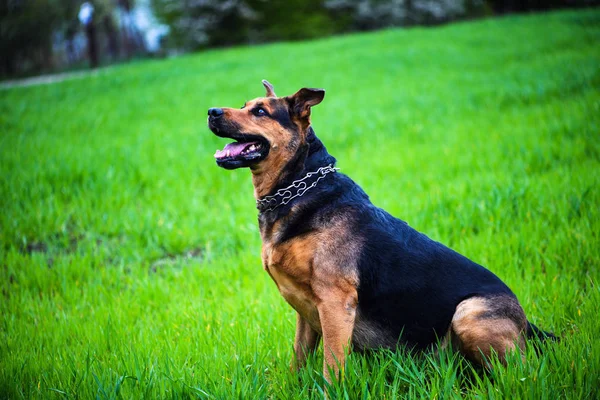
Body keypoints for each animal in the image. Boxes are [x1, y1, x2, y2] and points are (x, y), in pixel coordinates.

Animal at [209, 80, 556, 382]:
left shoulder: (335, 302)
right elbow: (299, 360)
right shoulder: (305, 311)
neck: (298, 187)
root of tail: (527, 325)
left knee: (517, 374)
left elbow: (332, 369)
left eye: (260, 111)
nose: (211, 111)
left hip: (468, 313)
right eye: (244, 105)